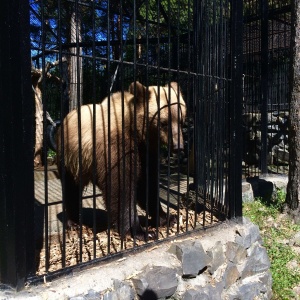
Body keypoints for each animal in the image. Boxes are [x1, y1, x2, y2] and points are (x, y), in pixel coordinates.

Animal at [56, 81, 186, 240]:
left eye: (180, 120)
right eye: (164, 123)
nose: (178, 146)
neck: (137, 131)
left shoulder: (146, 152)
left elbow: (147, 183)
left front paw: (167, 218)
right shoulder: (116, 146)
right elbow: (121, 186)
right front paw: (141, 231)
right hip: (71, 157)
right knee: (71, 188)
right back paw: (72, 222)